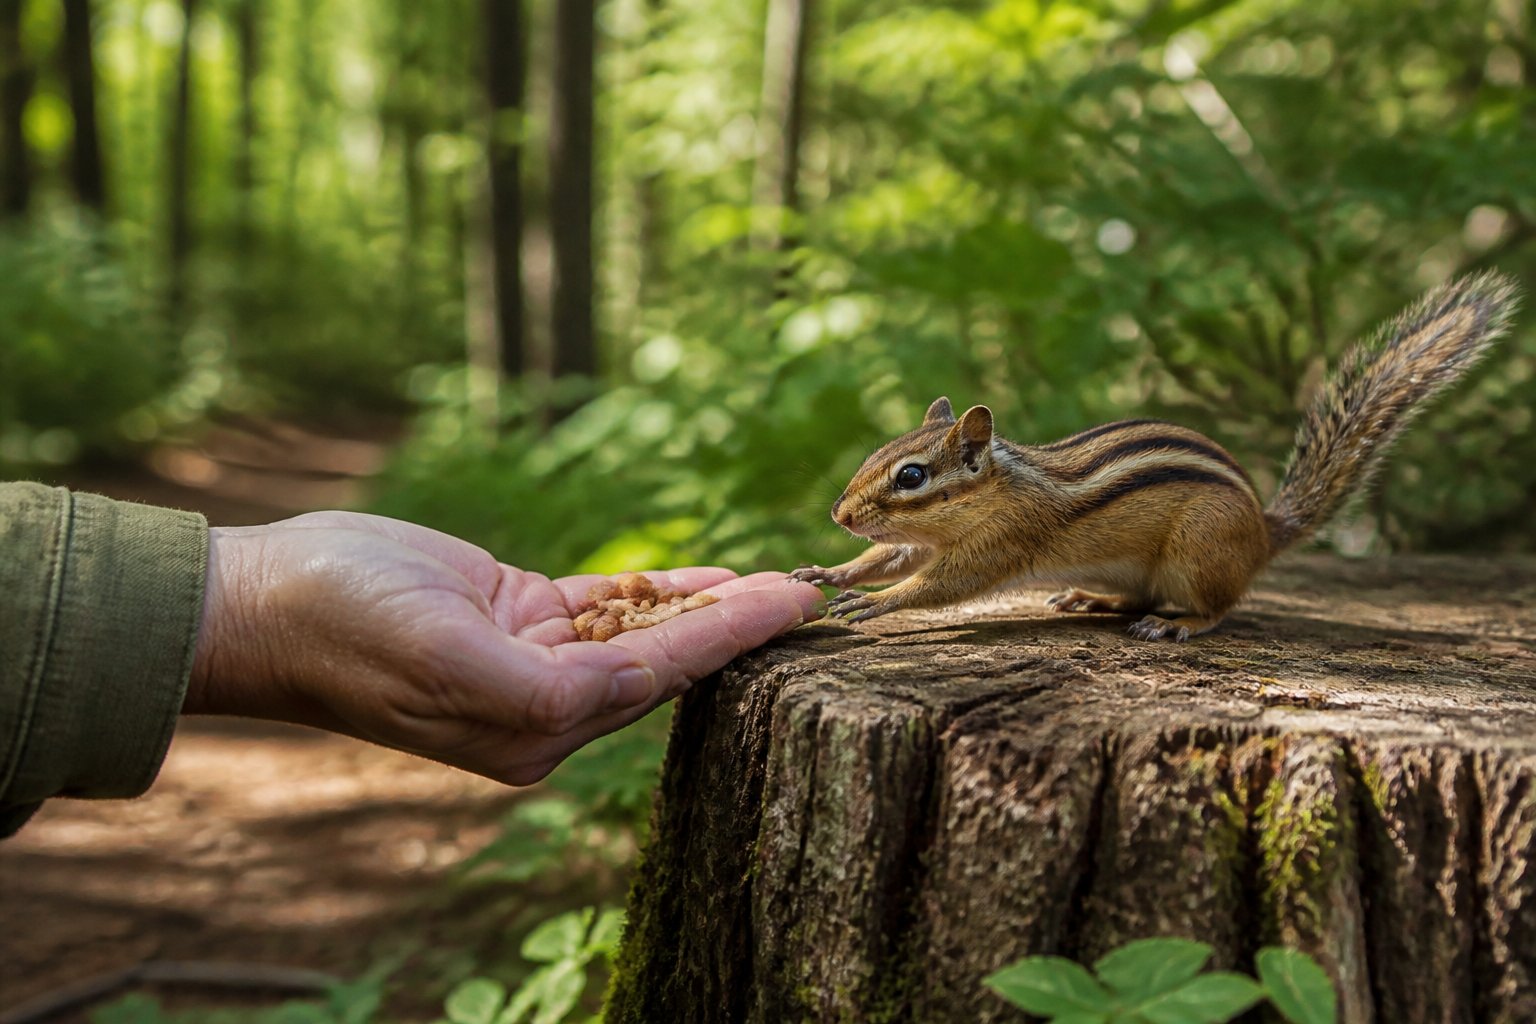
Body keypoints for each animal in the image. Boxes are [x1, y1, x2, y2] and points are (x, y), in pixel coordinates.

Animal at [790, 272, 1520, 641]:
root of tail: (1263, 531)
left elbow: (941, 584)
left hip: (1201, 549)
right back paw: (1089, 598)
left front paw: (874, 604)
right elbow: (891, 555)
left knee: (1219, 606)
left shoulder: (1004, 540)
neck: (994, 491)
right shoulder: (925, 537)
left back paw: (1176, 624)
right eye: (876, 453)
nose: (839, 516)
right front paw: (827, 572)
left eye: (912, 475)